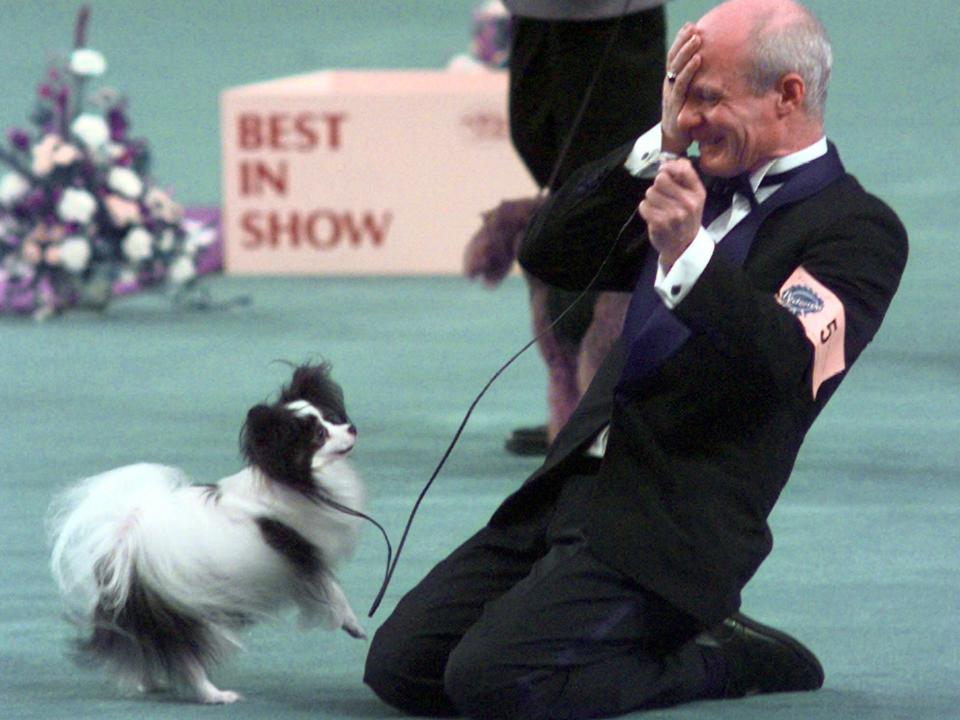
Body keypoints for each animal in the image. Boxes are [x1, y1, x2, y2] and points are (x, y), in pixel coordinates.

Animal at [46, 362, 368, 700]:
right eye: (320, 435)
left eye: (331, 418)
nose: (352, 428)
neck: (297, 482)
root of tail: (125, 546)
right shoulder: (303, 559)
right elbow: (333, 591)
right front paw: (353, 624)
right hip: (186, 617)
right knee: (187, 661)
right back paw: (216, 696)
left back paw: (151, 684)